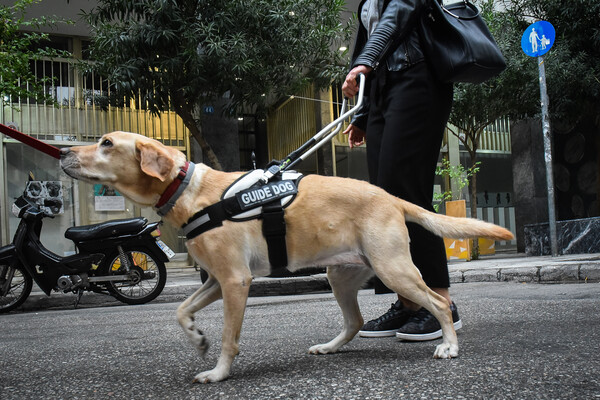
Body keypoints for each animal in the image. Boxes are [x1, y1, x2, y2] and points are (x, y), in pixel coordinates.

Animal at [59, 132, 510, 384]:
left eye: (106, 143)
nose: (62, 154)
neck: (187, 190)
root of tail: (388, 196)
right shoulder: (215, 280)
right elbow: (181, 310)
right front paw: (198, 338)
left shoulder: (235, 281)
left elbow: (230, 337)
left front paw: (219, 372)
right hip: (342, 275)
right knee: (354, 321)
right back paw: (330, 347)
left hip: (393, 268)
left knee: (437, 303)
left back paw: (448, 345)